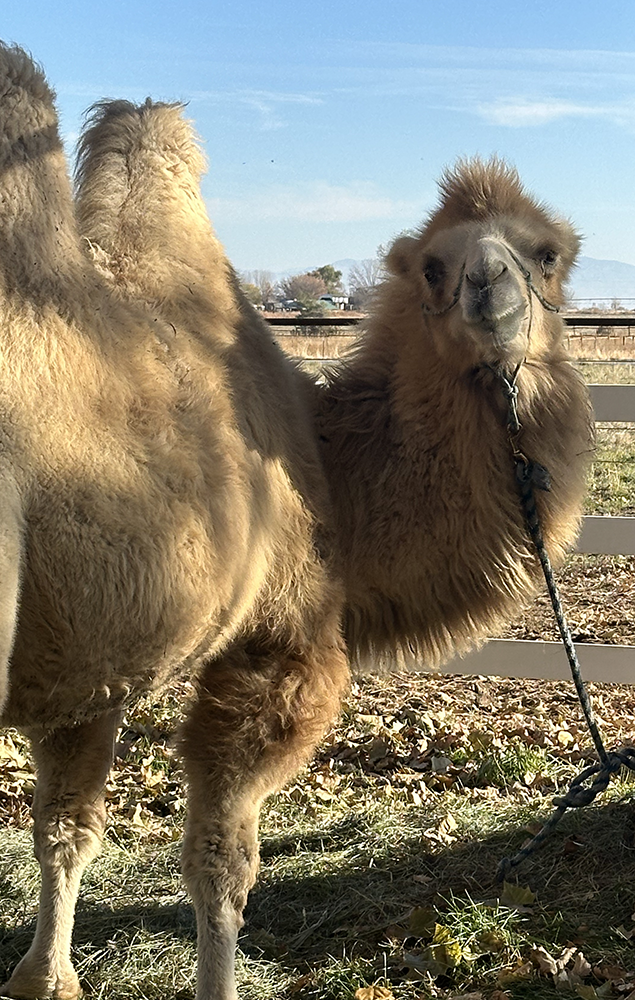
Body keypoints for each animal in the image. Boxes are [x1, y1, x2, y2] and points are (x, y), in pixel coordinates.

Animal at [0, 44, 592, 1000]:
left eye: (544, 253)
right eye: (432, 265)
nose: (488, 286)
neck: (327, 471)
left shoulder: (86, 669)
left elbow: (64, 828)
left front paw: (44, 978)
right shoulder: (279, 643)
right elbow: (219, 863)